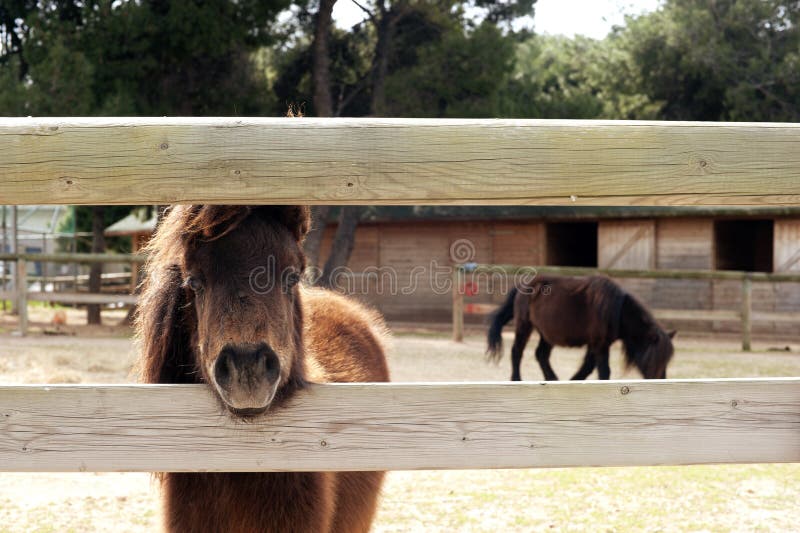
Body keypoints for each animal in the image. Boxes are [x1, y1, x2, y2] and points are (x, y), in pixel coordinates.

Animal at [486, 275, 674, 381]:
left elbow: (587, 367)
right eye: (655, 360)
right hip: (524, 326)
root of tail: (522, 287)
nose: (662, 380)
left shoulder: (596, 344)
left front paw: (574, 380)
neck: (616, 310)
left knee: (541, 355)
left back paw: (552, 379)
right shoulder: (599, 344)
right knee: (517, 352)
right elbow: (603, 371)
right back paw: (516, 379)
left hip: (547, 334)